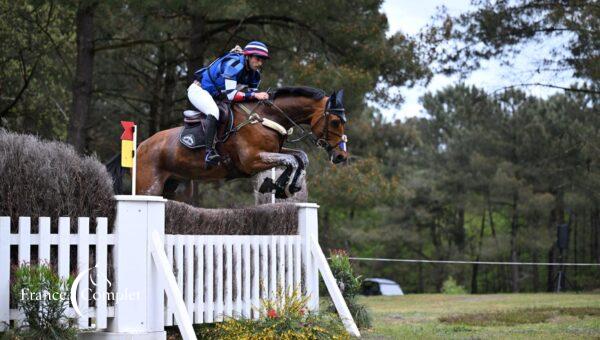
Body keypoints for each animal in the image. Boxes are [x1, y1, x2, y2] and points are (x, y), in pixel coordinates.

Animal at [114, 86, 346, 201]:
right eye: (335, 121)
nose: (341, 157)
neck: (267, 117)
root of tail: (139, 147)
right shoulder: (252, 160)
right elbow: (291, 160)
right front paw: (278, 186)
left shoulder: (272, 151)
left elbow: (300, 157)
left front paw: (286, 186)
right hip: (148, 188)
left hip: (171, 185)